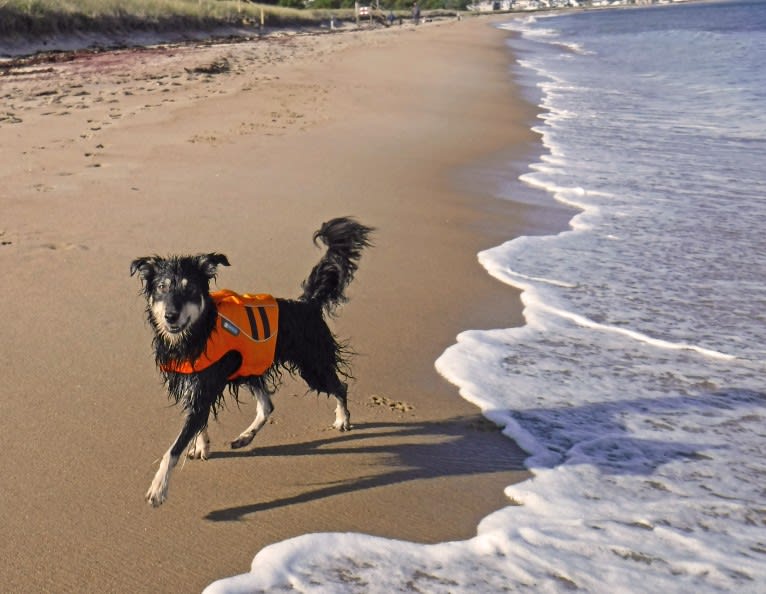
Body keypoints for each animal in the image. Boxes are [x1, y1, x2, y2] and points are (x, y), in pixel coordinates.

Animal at [130, 216, 376, 504]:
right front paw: (201, 445)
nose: (171, 315)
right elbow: (197, 423)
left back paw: (342, 420)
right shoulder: (196, 385)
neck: (196, 332)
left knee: (339, 387)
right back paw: (244, 438)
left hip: (313, 367)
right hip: (251, 367)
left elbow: (174, 447)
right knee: (267, 406)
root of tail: (308, 304)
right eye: (162, 287)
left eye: (189, 288)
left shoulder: (205, 386)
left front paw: (158, 488)